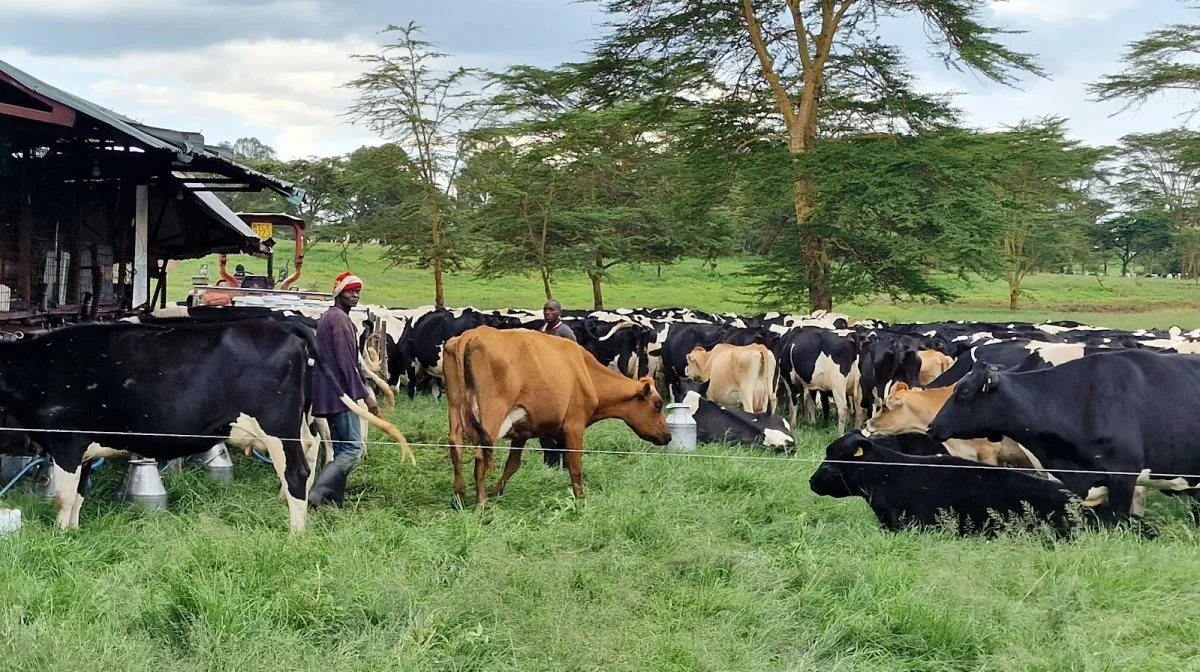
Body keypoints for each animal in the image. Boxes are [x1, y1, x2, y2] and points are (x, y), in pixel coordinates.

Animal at [0, 316, 412, 532]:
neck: (38, 365)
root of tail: (283, 325)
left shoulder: (66, 442)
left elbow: (64, 496)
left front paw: (60, 536)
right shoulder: (84, 446)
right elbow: (78, 497)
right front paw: (71, 533)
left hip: (277, 425)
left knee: (296, 470)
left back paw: (296, 532)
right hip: (295, 424)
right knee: (309, 451)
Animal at [441, 324, 672, 504]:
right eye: (658, 404)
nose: (668, 436)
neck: (585, 373)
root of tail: (472, 334)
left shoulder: (522, 433)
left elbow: (512, 465)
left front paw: (496, 491)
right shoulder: (574, 427)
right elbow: (575, 464)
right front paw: (581, 500)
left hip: (455, 406)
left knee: (455, 445)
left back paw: (459, 495)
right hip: (492, 414)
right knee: (482, 453)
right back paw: (480, 501)